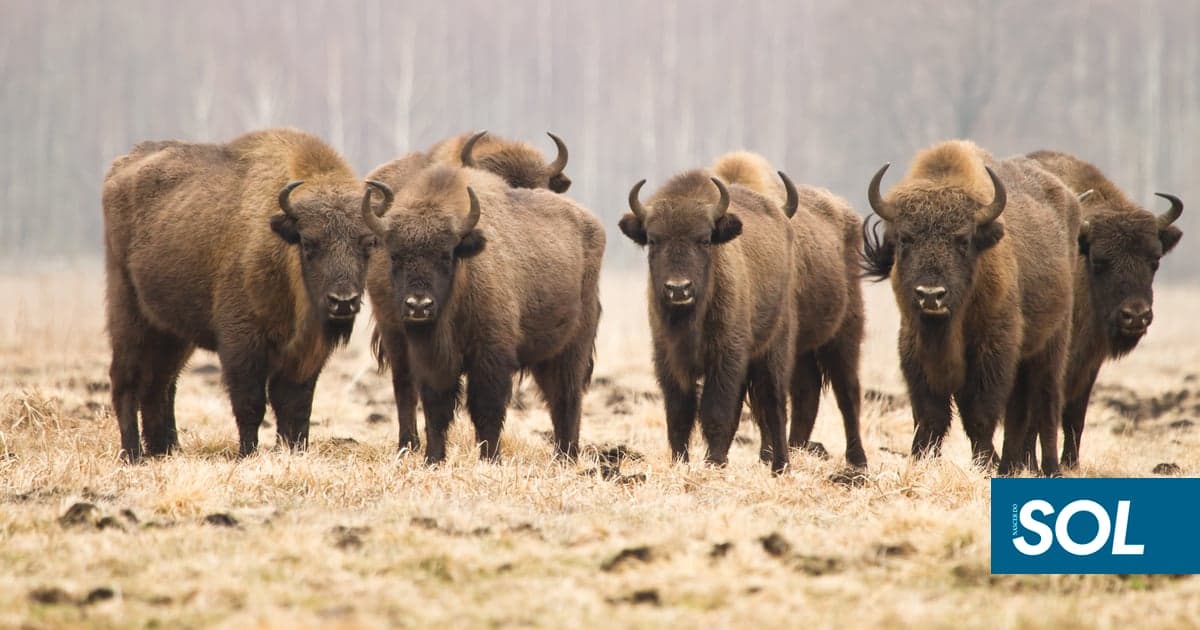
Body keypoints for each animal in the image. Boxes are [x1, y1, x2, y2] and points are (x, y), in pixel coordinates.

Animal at [102, 128, 390, 461]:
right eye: (308, 243)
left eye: (368, 243)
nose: (343, 301)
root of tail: (119, 168)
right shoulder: (241, 344)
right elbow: (251, 404)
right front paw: (247, 454)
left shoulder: (306, 355)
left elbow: (295, 406)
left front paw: (293, 450)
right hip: (128, 313)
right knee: (126, 380)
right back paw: (132, 454)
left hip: (173, 334)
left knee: (161, 384)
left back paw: (166, 450)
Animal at [365, 165, 604, 463]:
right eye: (395, 256)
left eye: (445, 256)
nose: (418, 305)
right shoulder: (430, 359)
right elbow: (436, 408)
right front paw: (433, 459)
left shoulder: (490, 355)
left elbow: (486, 408)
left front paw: (490, 459)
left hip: (573, 347)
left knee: (567, 396)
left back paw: (565, 456)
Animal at [618, 154, 797, 472]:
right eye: (653, 239)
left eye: (703, 239)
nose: (678, 289)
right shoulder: (669, 360)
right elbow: (679, 414)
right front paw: (681, 462)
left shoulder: (725, 358)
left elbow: (715, 411)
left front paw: (713, 462)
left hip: (773, 349)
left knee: (774, 403)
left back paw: (780, 466)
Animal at [862, 140, 1078, 476]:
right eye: (905, 239)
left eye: (962, 240)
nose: (931, 295)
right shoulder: (913, 348)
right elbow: (931, 415)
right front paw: (920, 460)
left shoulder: (993, 350)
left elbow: (979, 413)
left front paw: (984, 464)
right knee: (1019, 412)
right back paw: (1011, 465)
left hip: (1052, 345)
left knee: (1047, 403)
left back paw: (1050, 468)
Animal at [1024, 150, 1184, 468]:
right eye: (1099, 261)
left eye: (1155, 259)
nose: (1135, 316)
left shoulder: (1089, 363)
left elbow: (1075, 416)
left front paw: (1071, 464)